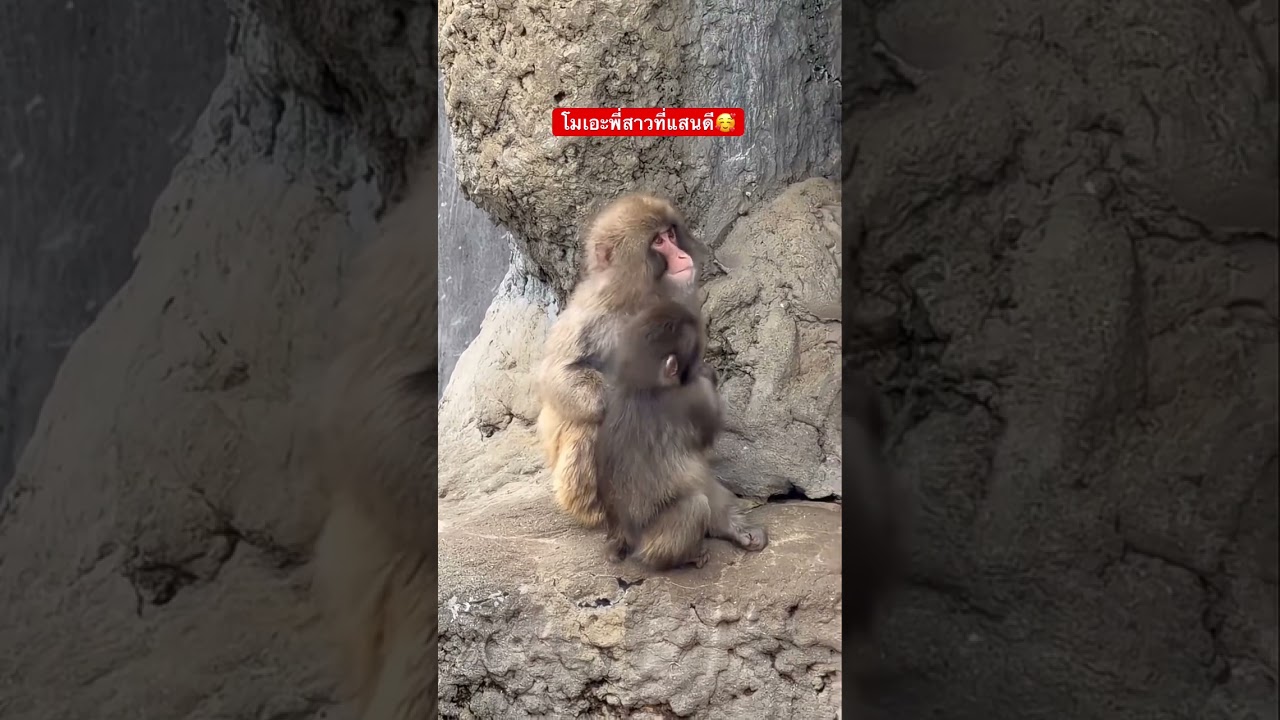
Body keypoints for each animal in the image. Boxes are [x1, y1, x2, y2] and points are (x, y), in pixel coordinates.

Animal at [535, 192, 713, 529]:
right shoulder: (593, 311)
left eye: (670, 234)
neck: (640, 298)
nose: (681, 255)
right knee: (588, 424)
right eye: (658, 242)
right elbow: (558, 376)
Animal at [594, 299, 767, 570]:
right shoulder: (693, 397)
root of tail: (621, 537)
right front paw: (709, 375)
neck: (642, 386)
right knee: (695, 506)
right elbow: (707, 430)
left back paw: (736, 532)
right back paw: (689, 555)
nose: (703, 365)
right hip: (653, 544)